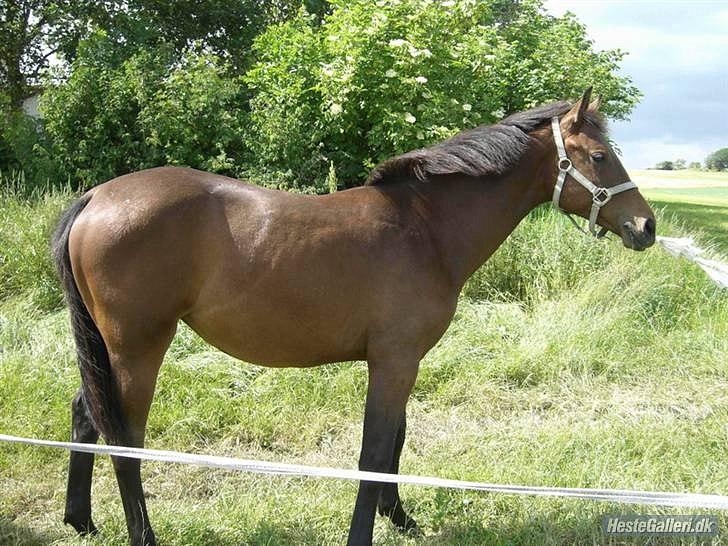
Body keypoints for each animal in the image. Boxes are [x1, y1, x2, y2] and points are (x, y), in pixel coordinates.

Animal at [51, 89, 656, 544]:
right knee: (123, 440)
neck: (424, 228)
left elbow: (395, 443)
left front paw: (401, 518)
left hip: (109, 350)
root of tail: (97, 197)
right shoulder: (393, 362)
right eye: (599, 157)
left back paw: (81, 521)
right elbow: (374, 450)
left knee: (85, 414)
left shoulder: (402, 362)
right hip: (138, 348)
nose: (645, 226)